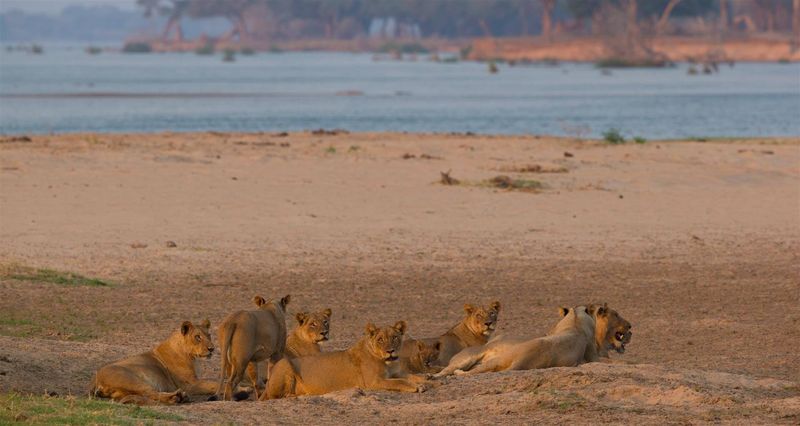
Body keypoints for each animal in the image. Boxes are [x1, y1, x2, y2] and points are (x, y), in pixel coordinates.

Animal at [262, 321, 429, 399]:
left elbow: (412, 376)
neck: (388, 362)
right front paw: (417, 386)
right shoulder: (374, 382)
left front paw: (427, 379)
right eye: (380, 340)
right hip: (284, 364)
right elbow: (399, 382)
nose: (390, 351)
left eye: (394, 337)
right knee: (275, 396)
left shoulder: (395, 373)